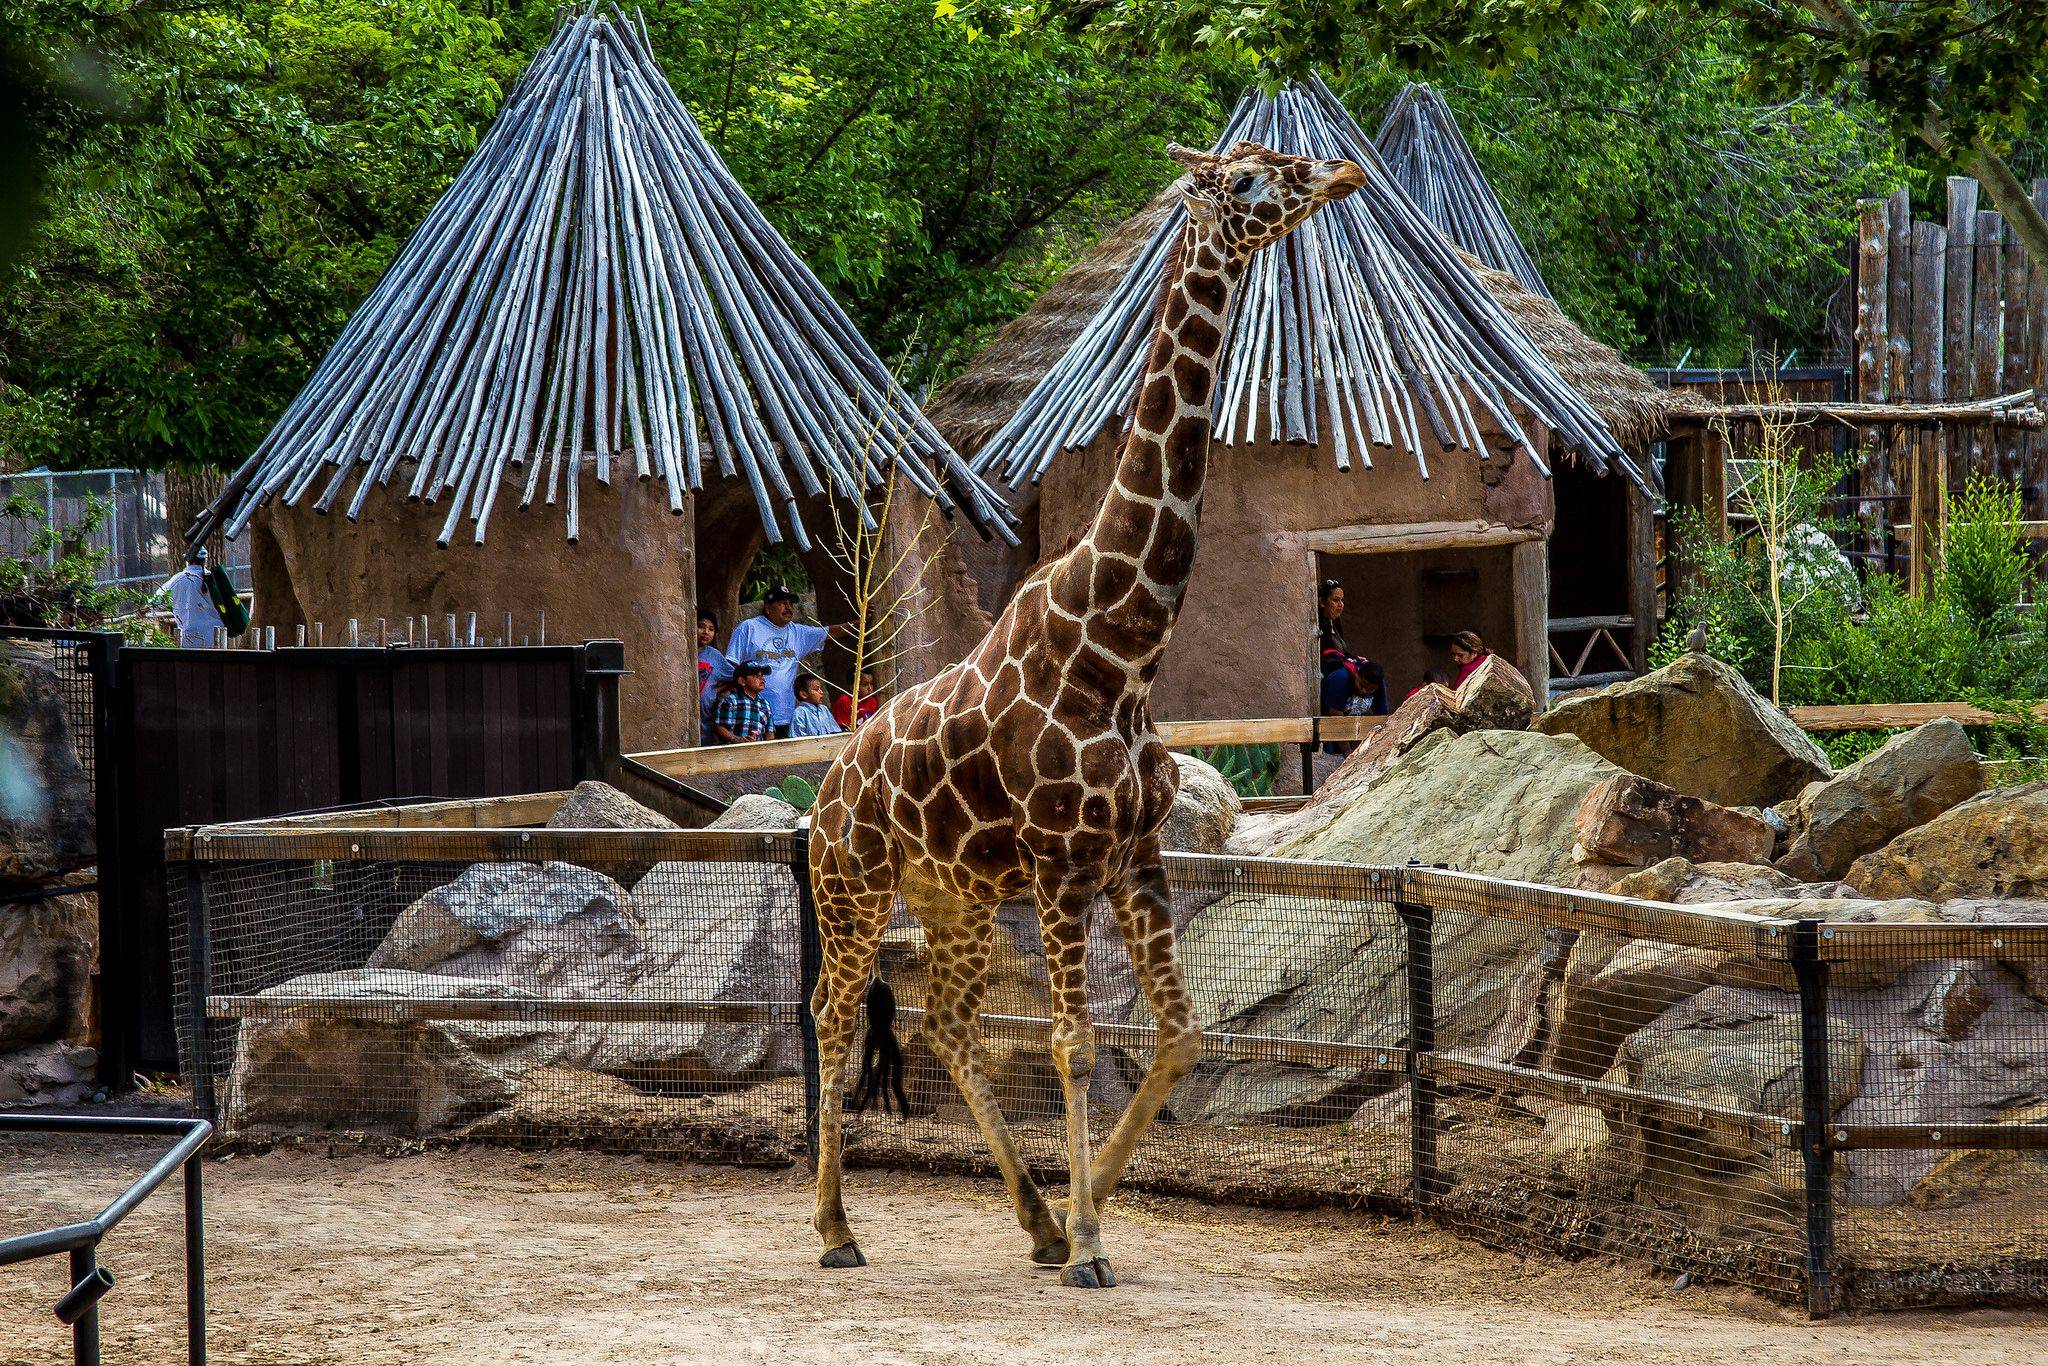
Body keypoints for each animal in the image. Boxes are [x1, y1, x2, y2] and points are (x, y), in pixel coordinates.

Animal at [802, 141, 1359, 1294]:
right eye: (1247, 181)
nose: (1342, 172)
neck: (1121, 648)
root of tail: (822, 790)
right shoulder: (1064, 865)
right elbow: (1071, 1042)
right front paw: (1094, 1241)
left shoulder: (1133, 857)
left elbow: (1180, 1035)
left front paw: (1082, 1209)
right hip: (856, 886)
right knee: (835, 1014)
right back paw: (835, 1228)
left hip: (956, 897)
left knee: (951, 1024)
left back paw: (1034, 1220)